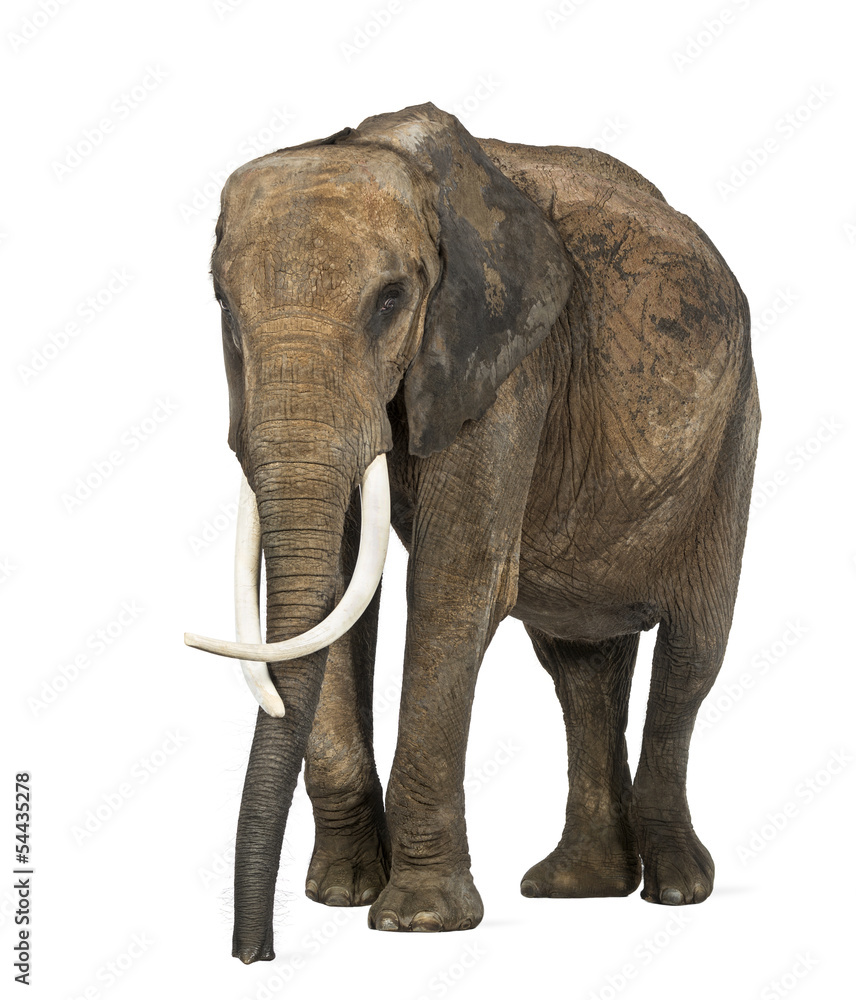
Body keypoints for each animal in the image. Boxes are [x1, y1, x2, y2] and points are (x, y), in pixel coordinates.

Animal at [185, 102, 760, 963]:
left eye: (391, 300)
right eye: (223, 304)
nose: (255, 954)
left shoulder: (507, 363)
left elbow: (453, 588)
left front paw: (417, 920)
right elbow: (342, 599)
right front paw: (342, 894)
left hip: (731, 441)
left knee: (692, 655)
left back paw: (676, 890)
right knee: (579, 668)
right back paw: (578, 885)